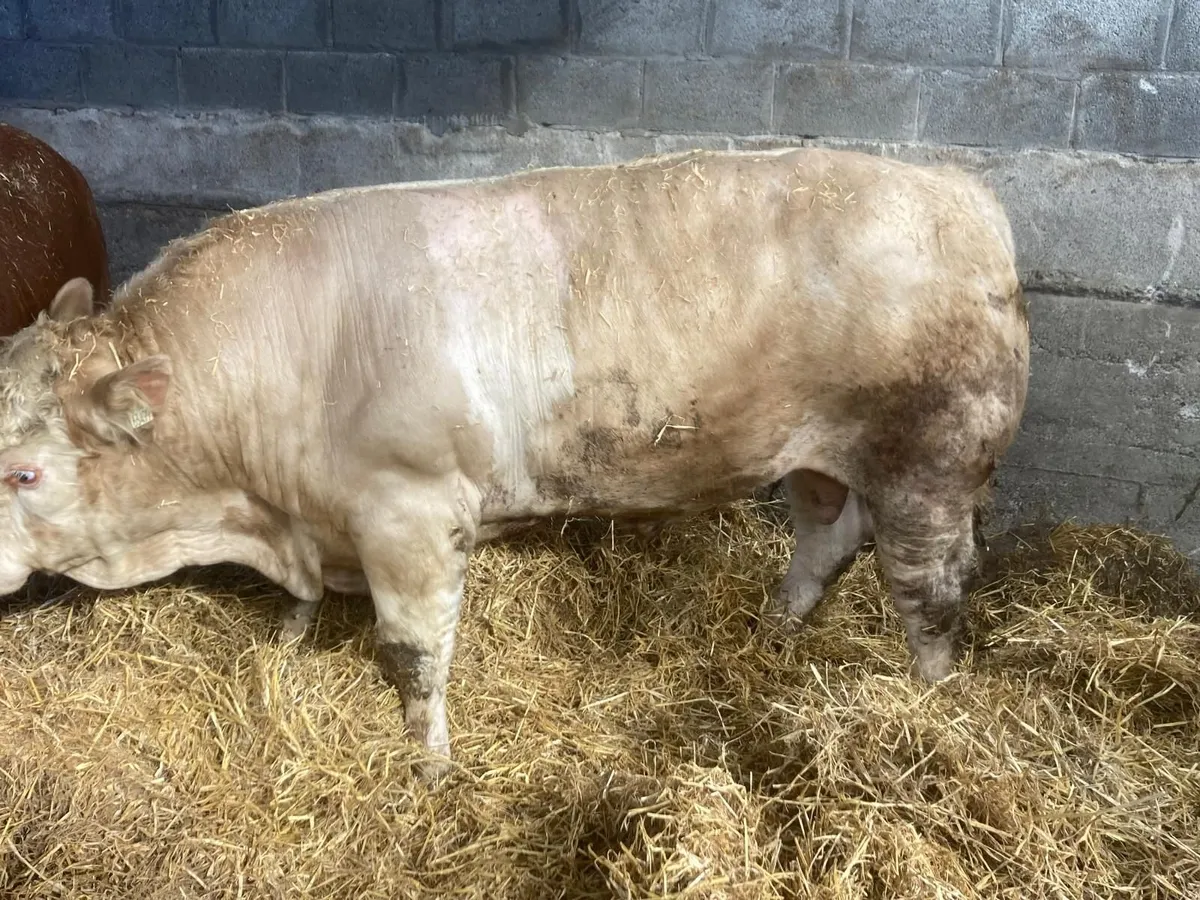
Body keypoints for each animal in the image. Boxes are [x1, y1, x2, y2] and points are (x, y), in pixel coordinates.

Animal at [0, 147, 1029, 779]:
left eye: (26, 473)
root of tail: (962, 192)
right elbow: (309, 613)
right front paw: (292, 638)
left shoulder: (409, 515)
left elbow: (414, 654)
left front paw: (430, 765)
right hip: (820, 453)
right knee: (826, 535)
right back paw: (775, 630)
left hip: (934, 465)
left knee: (929, 596)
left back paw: (932, 708)